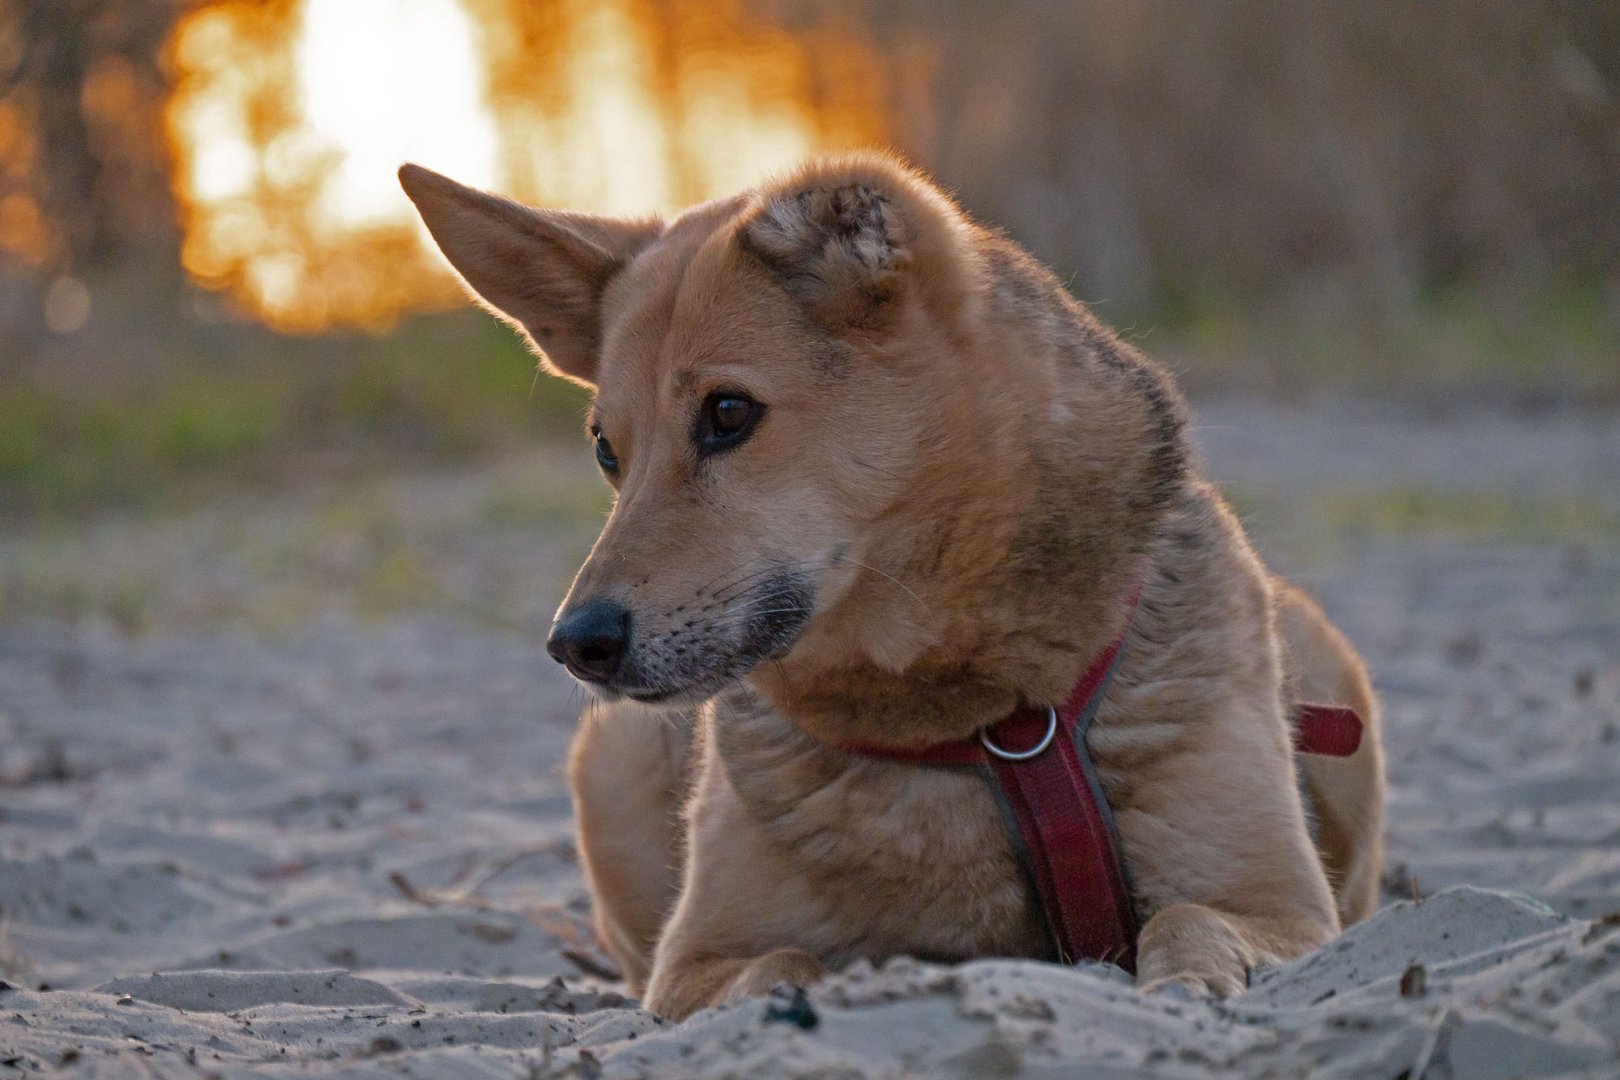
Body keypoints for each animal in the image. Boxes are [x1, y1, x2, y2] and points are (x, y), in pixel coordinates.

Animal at [398, 152, 1386, 1023]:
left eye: (728, 413)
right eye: (609, 451)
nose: (577, 644)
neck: (979, 714)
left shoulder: (1282, 909)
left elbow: (1186, 919)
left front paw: (1185, 985)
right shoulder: (694, 963)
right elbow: (775, 963)